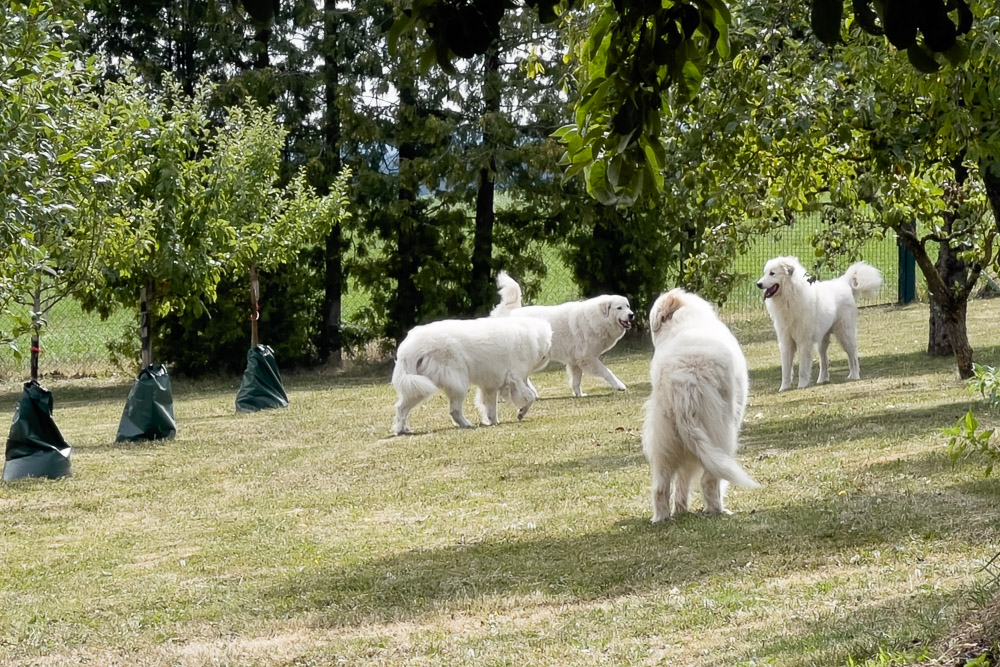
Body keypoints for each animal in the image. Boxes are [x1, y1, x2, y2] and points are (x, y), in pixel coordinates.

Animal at [390, 316, 552, 436]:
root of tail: (409, 347)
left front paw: (493, 421)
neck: (532, 337)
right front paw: (521, 413)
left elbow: (491, 407)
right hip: (455, 384)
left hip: (418, 386)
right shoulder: (514, 379)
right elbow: (530, 397)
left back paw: (401, 429)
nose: (546, 356)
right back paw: (466, 424)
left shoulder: (490, 386)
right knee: (454, 410)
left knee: (401, 408)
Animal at [490, 272, 632, 396]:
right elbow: (607, 372)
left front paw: (579, 395)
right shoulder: (588, 358)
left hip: (539, 359)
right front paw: (619, 386)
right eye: (619, 308)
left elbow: (576, 381)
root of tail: (506, 313)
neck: (596, 318)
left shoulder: (575, 361)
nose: (631, 315)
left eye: (628, 306)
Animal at [640, 290, 756, 524]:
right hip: (721, 438)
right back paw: (718, 510)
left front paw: (681, 509)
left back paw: (663, 518)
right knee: (710, 481)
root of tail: (683, 383)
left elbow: (682, 483)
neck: (683, 318)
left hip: (664, 444)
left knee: (660, 487)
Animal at [756, 256, 884, 392]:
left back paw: (854, 375)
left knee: (853, 356)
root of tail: (844, 282)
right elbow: (785, 369)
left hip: (845, 335)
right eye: (765, 273)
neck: (789, 297)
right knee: (824, 361)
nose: (758, 284)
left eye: (772, 273)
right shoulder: (786, 342)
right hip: (822, 341)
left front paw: (802, 385)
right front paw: (783, 388)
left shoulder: (804, 342)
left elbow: (803, 369)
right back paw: (822, 379)